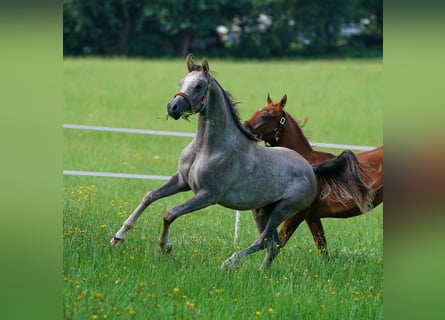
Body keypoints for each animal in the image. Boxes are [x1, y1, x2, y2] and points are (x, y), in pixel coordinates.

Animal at [243, 93, 382, 258]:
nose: (243, 128)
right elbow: (323, 249)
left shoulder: (296, 215)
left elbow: (278, 242)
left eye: (265, 115)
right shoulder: (313, 218)